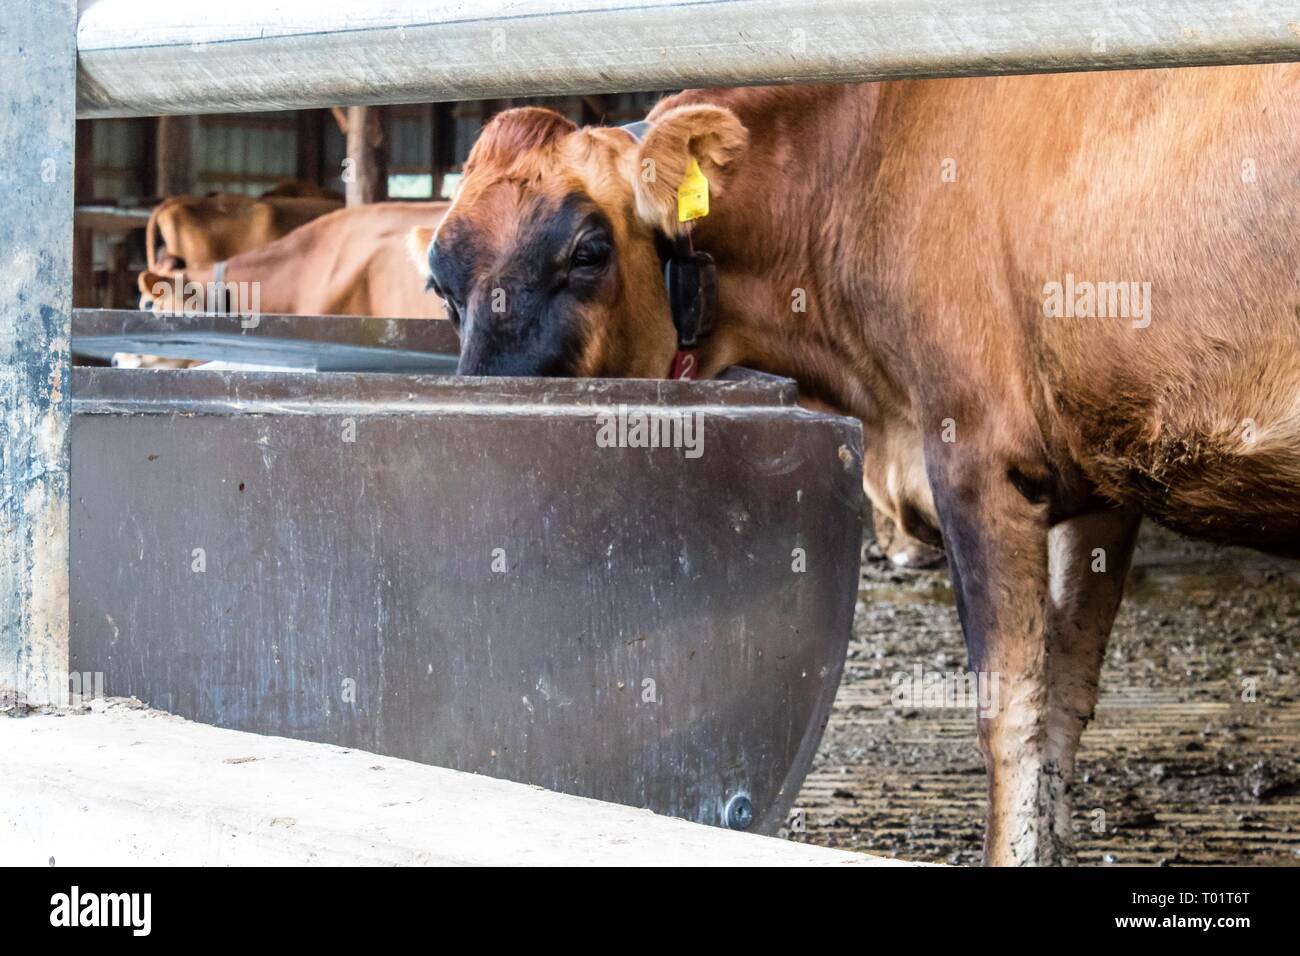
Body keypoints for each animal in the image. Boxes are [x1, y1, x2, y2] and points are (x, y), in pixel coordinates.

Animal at [410, 63, 1300, 863]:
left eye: (590, 250)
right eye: (441, 285)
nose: (482, 415)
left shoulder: (975, 455)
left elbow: (1011, 713)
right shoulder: (1100, 478)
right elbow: (1064, 707)